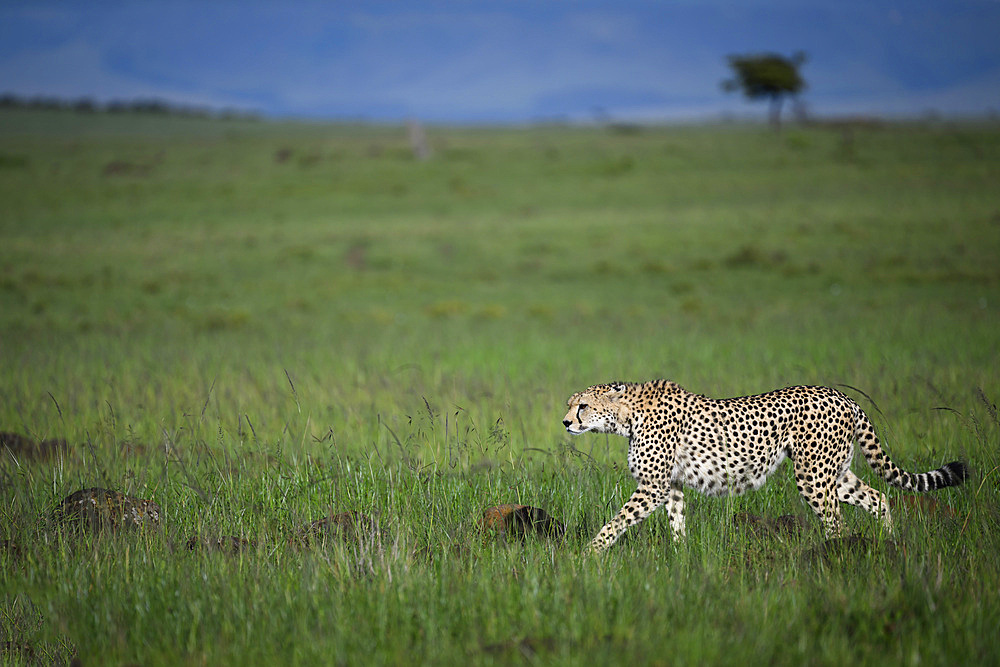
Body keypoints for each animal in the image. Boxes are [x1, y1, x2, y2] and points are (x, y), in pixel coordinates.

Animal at [568, 380, 964, 552]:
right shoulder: (672, 484)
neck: (626, 414)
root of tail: (842, 395)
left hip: (812, 476)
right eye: (572, 404)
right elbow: (676, 523)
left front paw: (589, 554)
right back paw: (889, 544)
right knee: (879, 498)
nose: (565, 422)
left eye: (582, 406)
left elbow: (615, 521)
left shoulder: (653, 485)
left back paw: (834, 560)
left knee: (835, 520)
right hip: (834, 473)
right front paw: (681, 561)